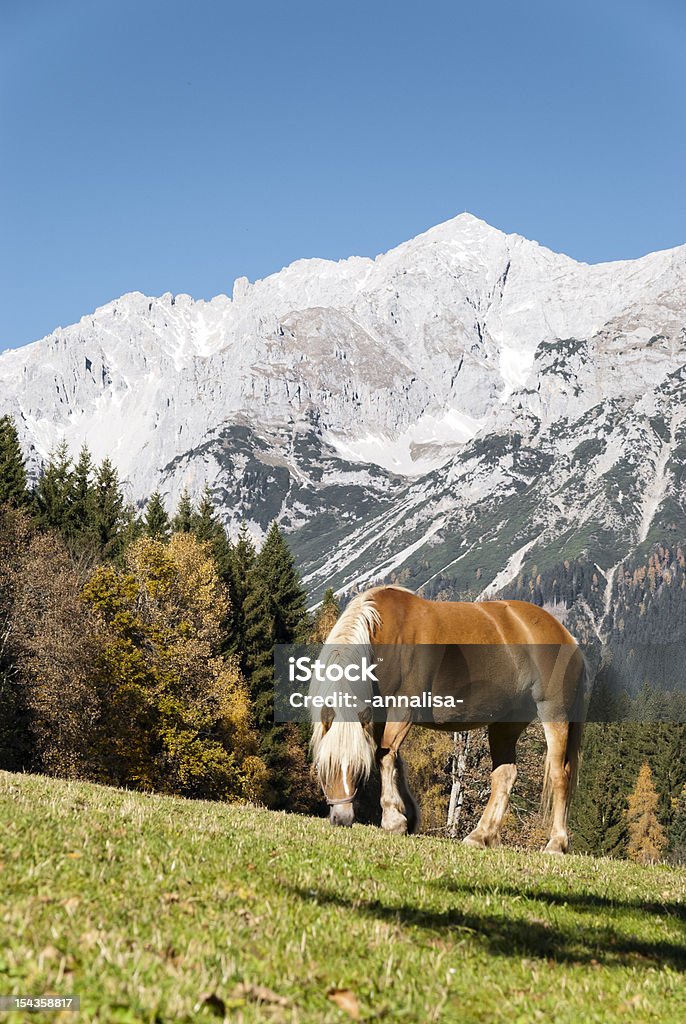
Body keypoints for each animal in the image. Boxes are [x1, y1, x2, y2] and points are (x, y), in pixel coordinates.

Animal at [309, 585, 589, 856]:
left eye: (357, 767)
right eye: (323, 766)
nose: (341, 818)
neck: (385, 636)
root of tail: (567, 637)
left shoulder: (402, 711)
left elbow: (385, 757)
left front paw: (393, 820)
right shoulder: (376, 718)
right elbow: (393, 759)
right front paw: (408, 817)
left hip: (555, 714)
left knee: (559, 775)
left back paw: (556, 844)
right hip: (506, 724)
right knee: (505, 775)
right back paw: (481, 836)